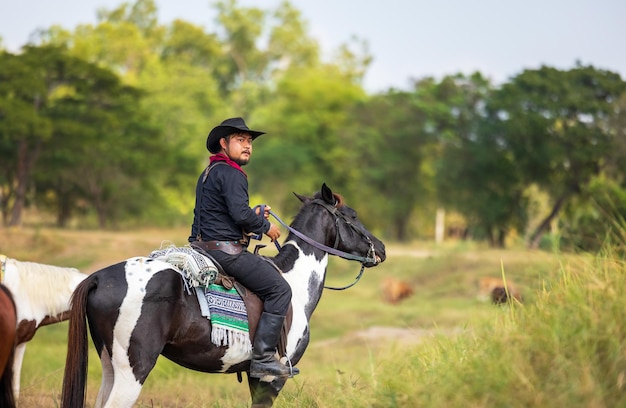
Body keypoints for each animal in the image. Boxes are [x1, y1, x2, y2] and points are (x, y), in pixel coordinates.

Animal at [63, 183, 386, 406]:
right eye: (353, 215)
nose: (380, 248)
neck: (294, 284)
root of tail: (99, 277)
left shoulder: (256, 376)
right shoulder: (271, 377)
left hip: (109, 366)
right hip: (132, 371)